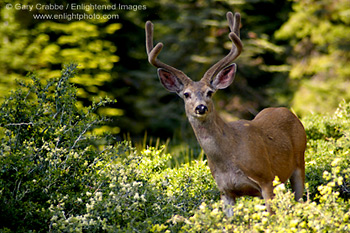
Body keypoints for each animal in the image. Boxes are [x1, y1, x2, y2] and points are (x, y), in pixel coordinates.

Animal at [145, 10, 306, 215]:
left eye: (209, 92)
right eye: (186, 94)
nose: (201, 107)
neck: (228, 157)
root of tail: (289, 112)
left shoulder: (266, 179)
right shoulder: (225, 191)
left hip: (300, 161)